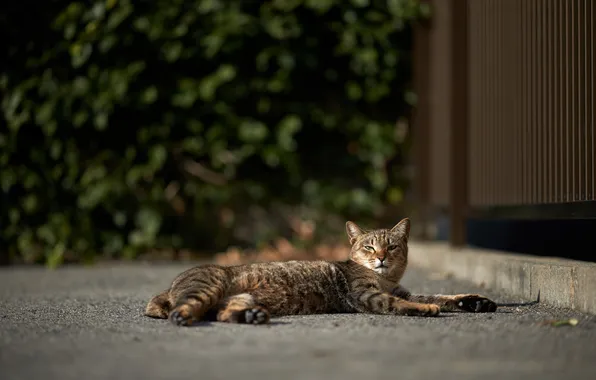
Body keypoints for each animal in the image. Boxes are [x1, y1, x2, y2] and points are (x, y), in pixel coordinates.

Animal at [146, 217, 498, 326]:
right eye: (369, 247)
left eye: (392, 246)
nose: (382, 257)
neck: (384, 278)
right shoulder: (367, 296)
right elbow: (402, 304)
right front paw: (425, 309)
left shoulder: (400, 289)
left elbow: (442, 295)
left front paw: (476, 301)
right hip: (207, 287)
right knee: (184, 308)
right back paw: (183, 316)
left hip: (239, 297)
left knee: (222, 314)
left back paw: (252, 317)